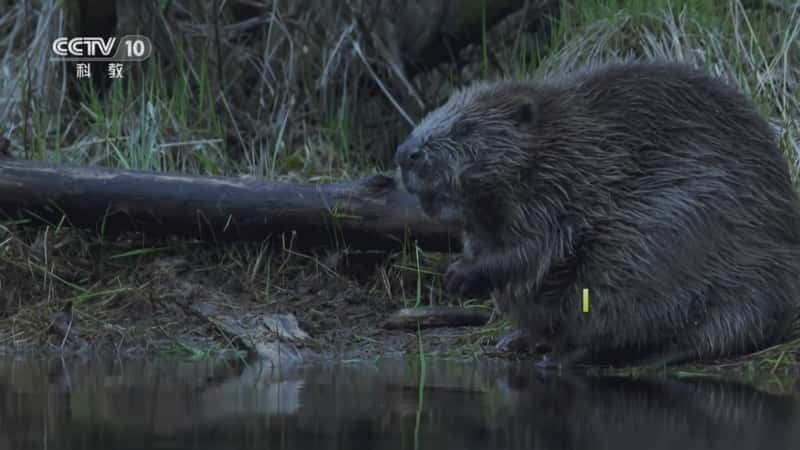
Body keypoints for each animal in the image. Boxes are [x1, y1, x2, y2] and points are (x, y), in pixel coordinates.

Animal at [396, 61, 800, 368]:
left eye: (465, 128)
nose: (404, 154)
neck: (561, 145)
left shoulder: (563, 188)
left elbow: (537, 247)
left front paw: (459, 275)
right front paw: (463, 278)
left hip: (659, 239)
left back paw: (569, 358)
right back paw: (517, 340)